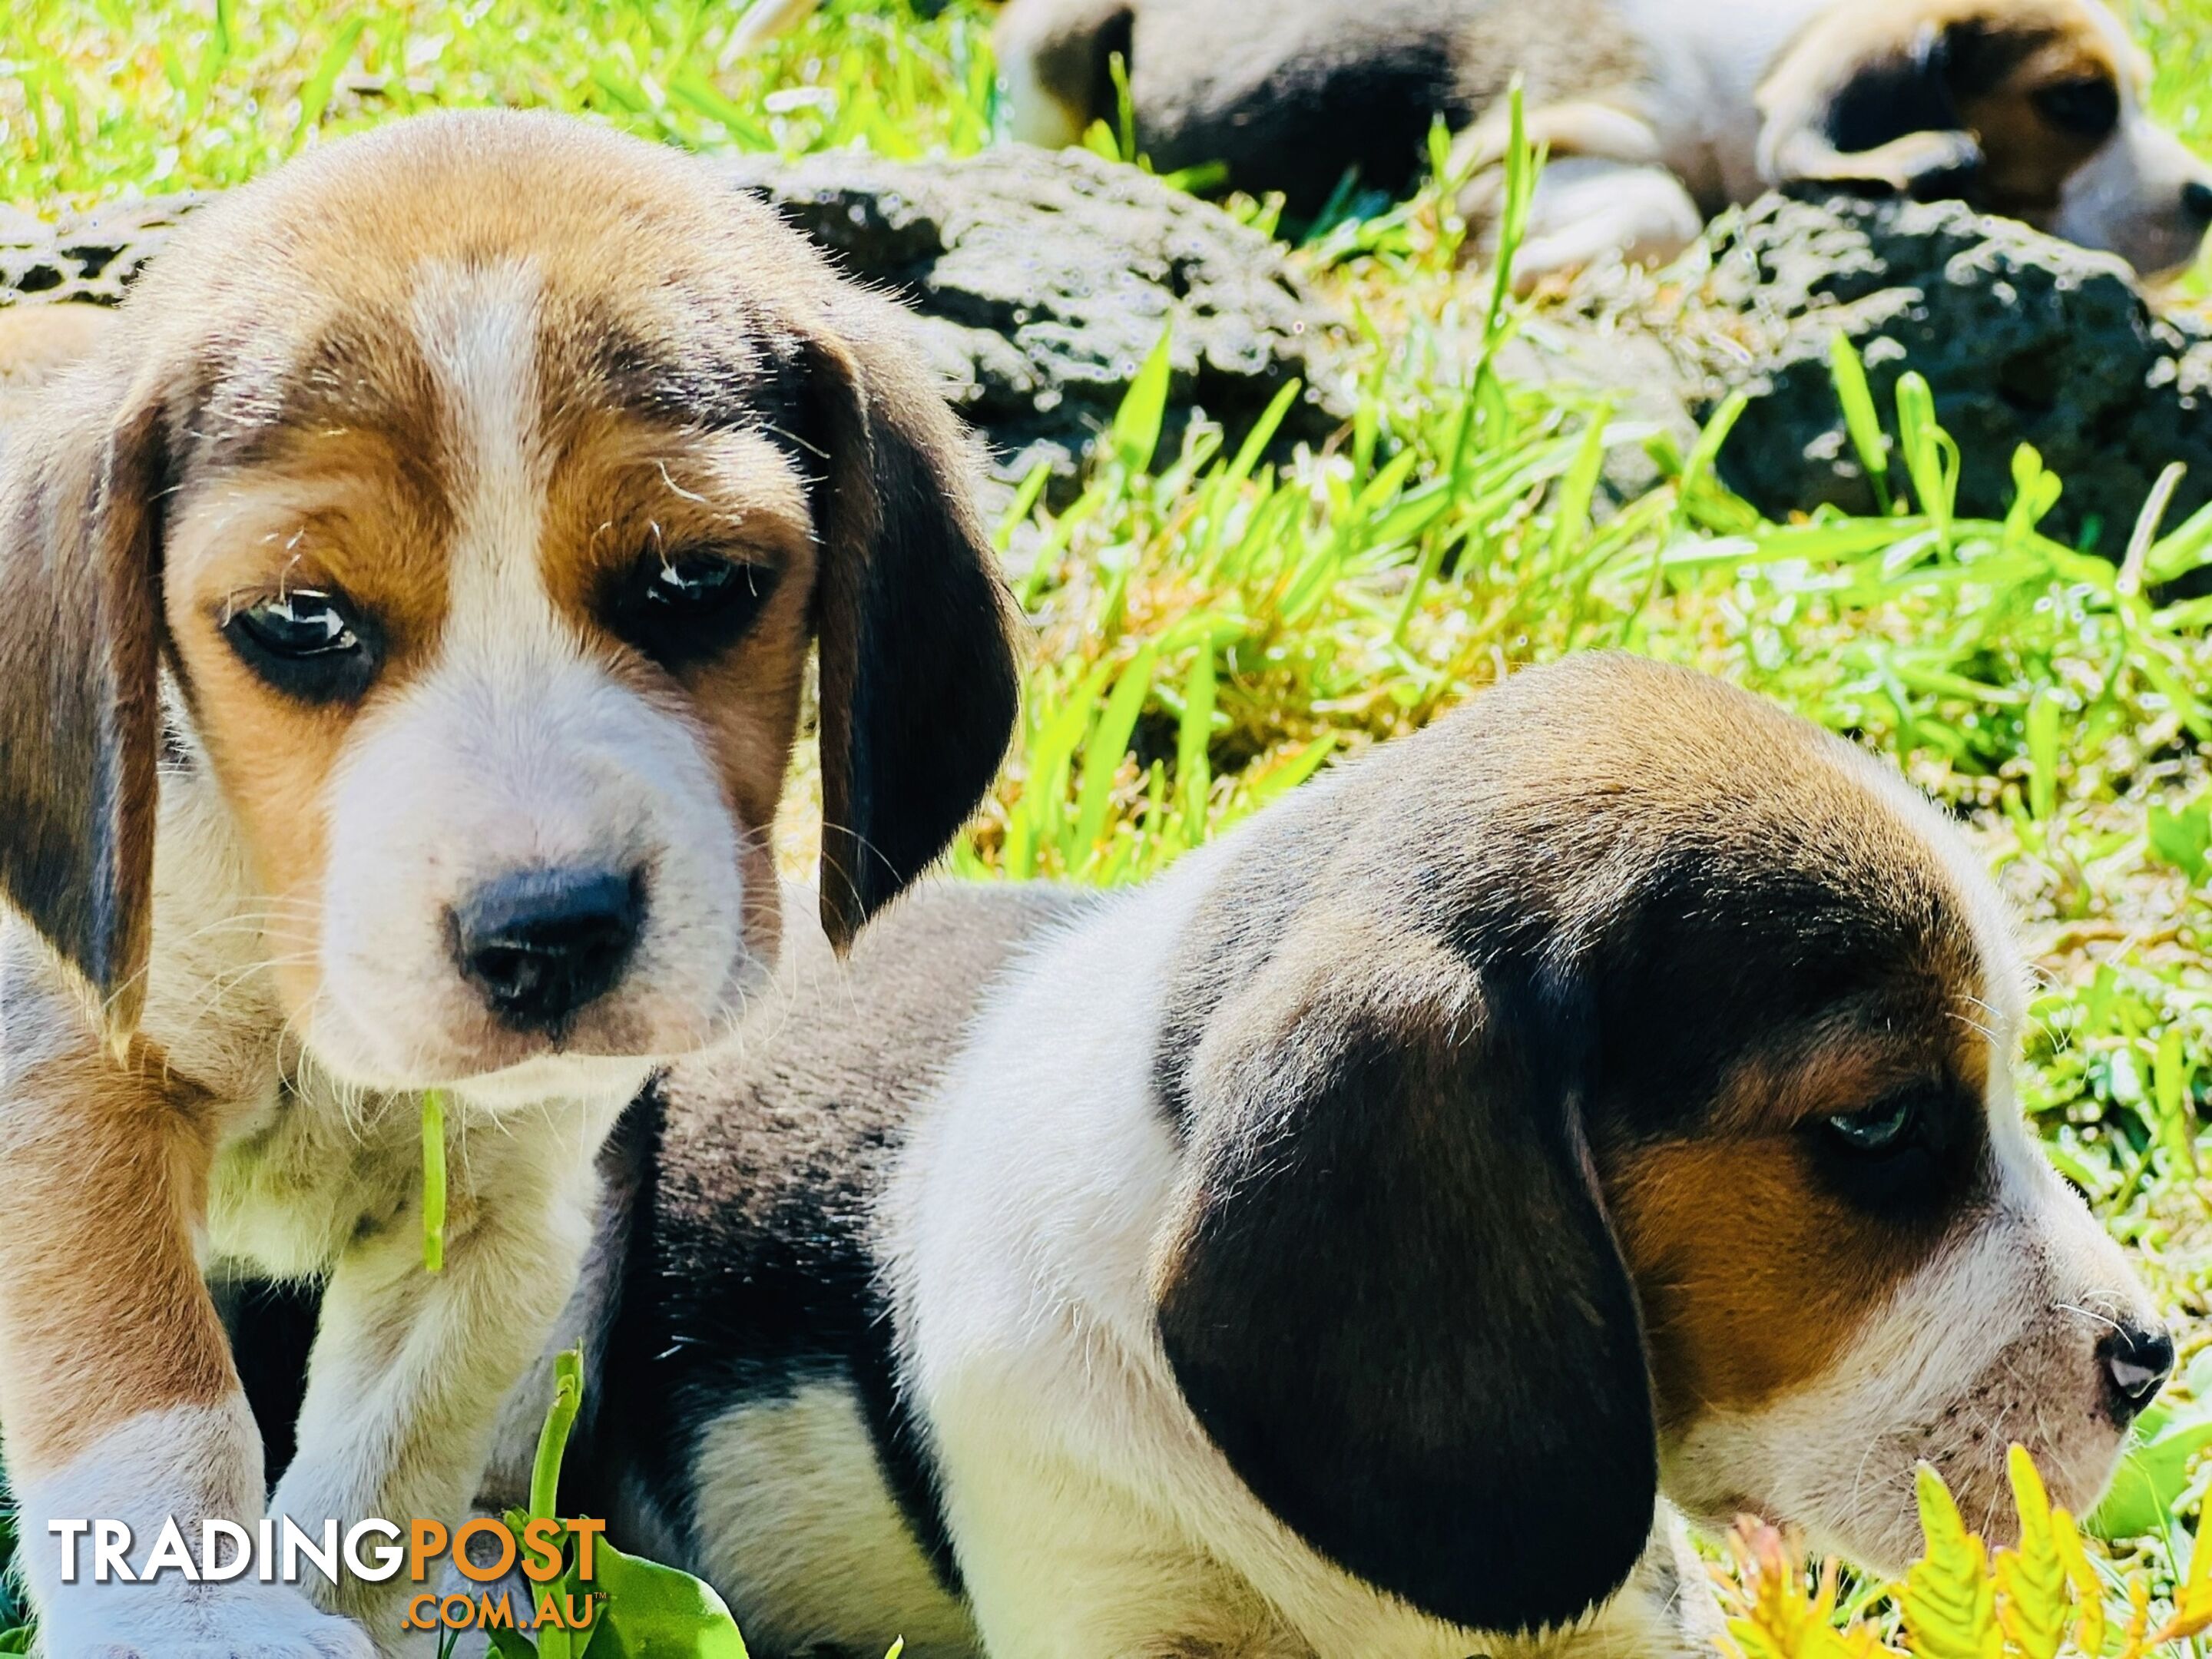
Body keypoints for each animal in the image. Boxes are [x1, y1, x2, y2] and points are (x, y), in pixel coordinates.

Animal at [0, 111, 1017, 1654]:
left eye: (698, 579)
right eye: (299, 620)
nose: (550, 935)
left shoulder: (503, 1212)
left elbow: (384, 1473)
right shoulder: (73, 1090)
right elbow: (150, 1387)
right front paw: (197, 1623)